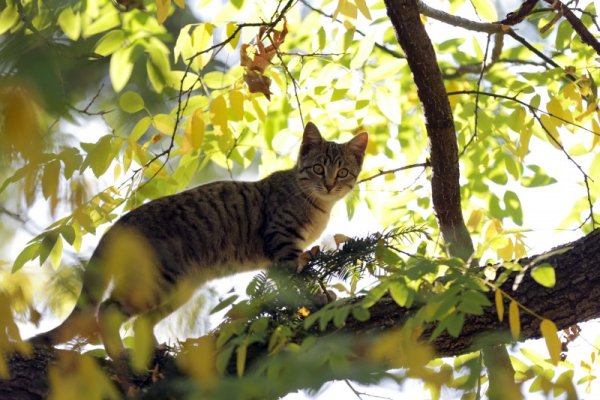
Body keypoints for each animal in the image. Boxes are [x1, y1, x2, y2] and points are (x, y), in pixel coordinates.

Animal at [30, 122, 368, 360]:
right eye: (319, 168)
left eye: (342, 172)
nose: (329, 184)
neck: (317, 205)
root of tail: (121, 222)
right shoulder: (282, 243)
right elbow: (298, 281)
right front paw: (316, 299)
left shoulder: (292, 252)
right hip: (158, 280)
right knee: (108, 309)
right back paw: (118, 354)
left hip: (180, 288)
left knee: (140, 321)